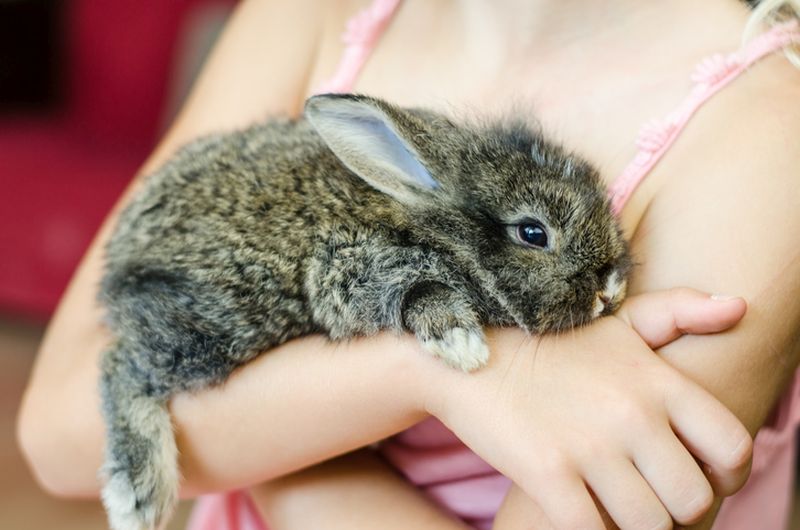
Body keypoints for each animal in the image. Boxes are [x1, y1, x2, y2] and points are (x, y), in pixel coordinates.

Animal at [97, 93, 632, 530]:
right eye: (533, 233)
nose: (611, 288)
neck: (430, 224)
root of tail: (122, 248)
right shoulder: (348, 265)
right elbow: (420, 291)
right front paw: (461, 345)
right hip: (220, 323)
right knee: (121, 366)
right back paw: (137, 497)